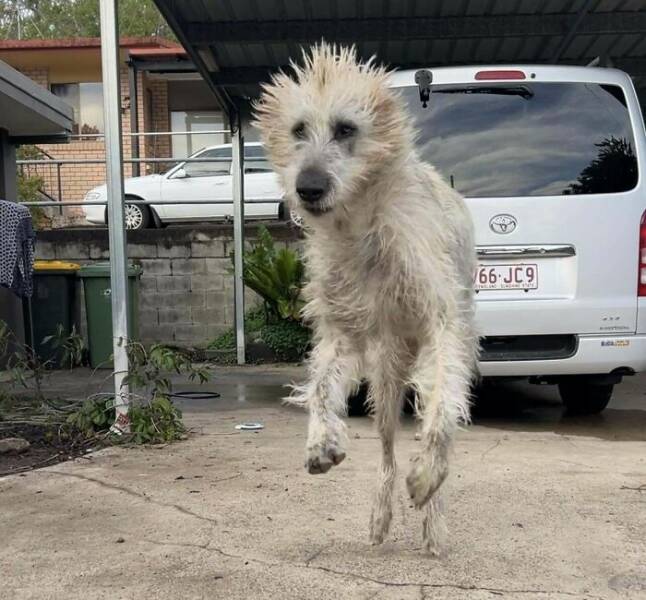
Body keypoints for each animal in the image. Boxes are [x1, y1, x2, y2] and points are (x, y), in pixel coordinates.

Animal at [256, 45, 478, 552]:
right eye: (298, 130)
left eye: (345, 128)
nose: (308, 187)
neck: (360, 225)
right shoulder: (343, 330)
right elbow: (320, 386)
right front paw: (320, 441)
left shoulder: (442, 323)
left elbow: (442, 415)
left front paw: (429, 473)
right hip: (386, 381)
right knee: (387, 452)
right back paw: (380, 516)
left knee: (436, 410)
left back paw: (432, 518)